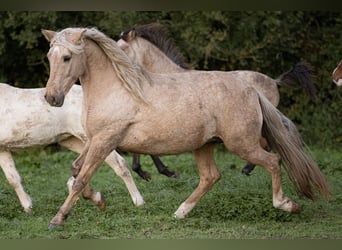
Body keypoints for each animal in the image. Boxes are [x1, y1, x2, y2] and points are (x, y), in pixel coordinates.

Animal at [0, 83, 144, 212]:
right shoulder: (3, 149)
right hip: (73, 140)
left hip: (93, 138)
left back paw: (138, 201)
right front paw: (28, 207)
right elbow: (13, 178)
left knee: (119, 164)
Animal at [118, 23, 318, 176]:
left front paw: (165, 172)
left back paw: (247, 169)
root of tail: (275, 81)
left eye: (121, 47)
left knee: (266, 145)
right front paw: (145, 171)